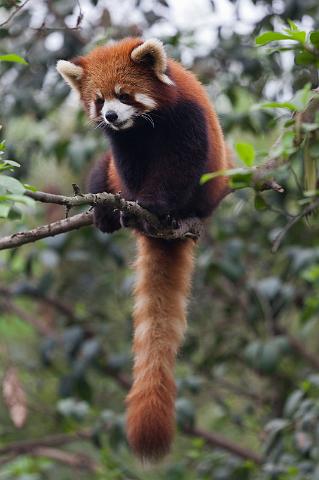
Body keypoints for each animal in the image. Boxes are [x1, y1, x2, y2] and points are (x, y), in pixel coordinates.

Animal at [57, 36, 232, 462]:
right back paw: (106, 212)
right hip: (105, 174)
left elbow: (180, 166)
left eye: (124, 95)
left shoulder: (186, 122)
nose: (112, 116)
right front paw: (131, 205)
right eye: (99, 100)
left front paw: (154, 204)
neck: (141, 127)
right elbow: (125, 165)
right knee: (100, 172)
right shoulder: (123, 146)